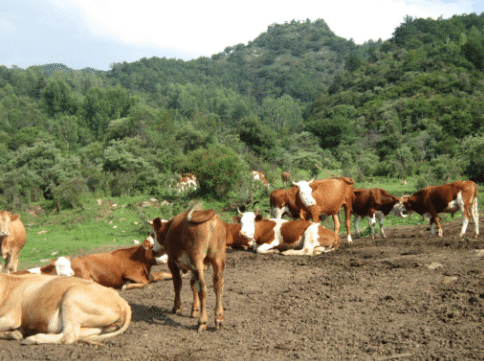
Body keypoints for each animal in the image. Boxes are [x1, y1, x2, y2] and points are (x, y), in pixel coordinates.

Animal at [0, 272, 131, 344]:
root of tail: (121, 300)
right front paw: (15, 333)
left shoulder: (12, 318)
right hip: (96, 326)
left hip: (72, 295)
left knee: (68, 336)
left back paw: (33, 339)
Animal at [150, 201, 226, 330]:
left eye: (153, 234)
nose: (153, 251)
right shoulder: (193, 267)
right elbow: (192, 284)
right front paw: (194, 309)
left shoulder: (172, 262)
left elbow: (177, 284)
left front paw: (177, 307)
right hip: (218, 259)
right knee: (218, 285)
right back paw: (219, 318)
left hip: (196, 260)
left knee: (202, 288)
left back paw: (202, 321)